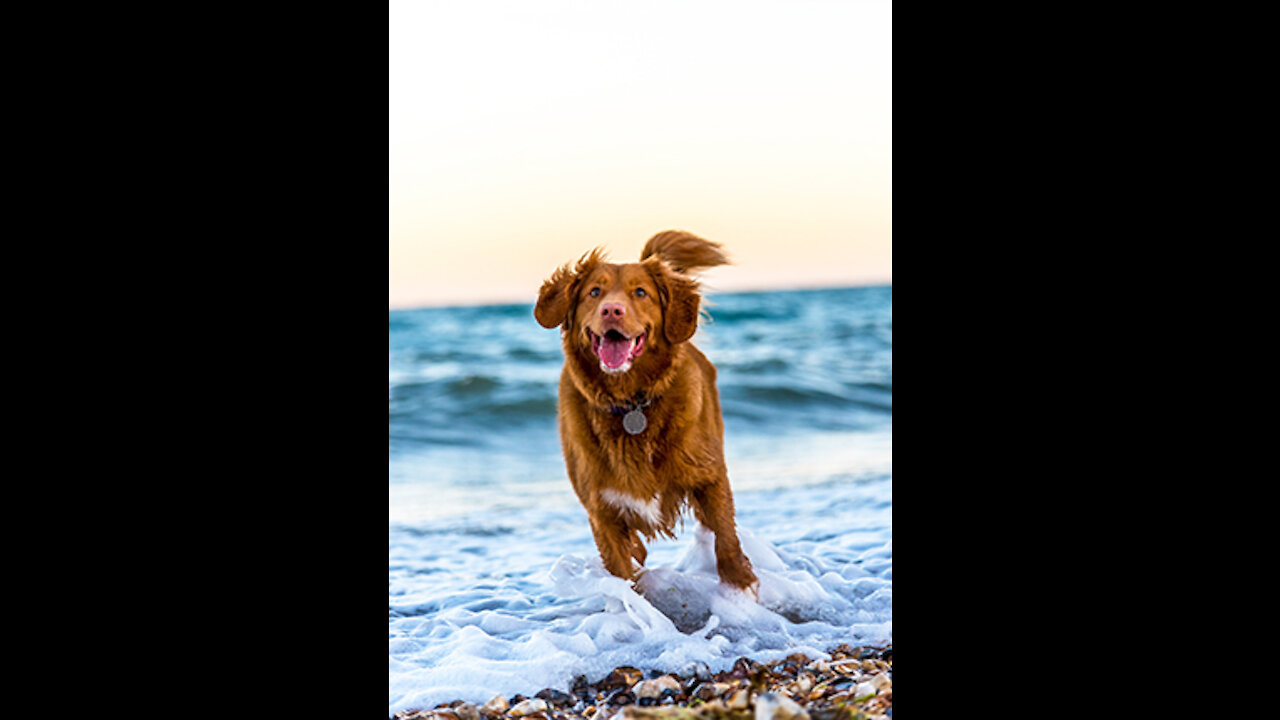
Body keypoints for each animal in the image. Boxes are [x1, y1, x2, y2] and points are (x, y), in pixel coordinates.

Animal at [532, 230, 757, 594]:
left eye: (640, 292)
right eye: (594, 292)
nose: (611, 310)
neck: (631, 403)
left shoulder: (709, 475)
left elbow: (725, 536)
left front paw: (742, 584)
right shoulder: (602, 511)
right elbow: (622, 570)